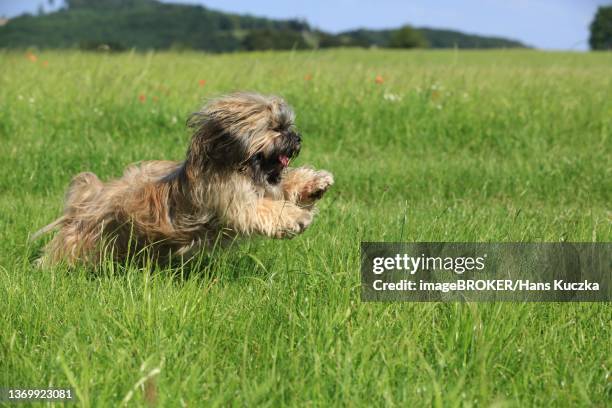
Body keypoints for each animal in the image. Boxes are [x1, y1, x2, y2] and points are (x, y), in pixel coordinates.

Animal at [33, 91, 334, 268]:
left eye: (289, 126)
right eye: (275, 128)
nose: (297, 138)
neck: (235, 165)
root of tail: (91, 196)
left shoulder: (265, 186)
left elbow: (285, 188)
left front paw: (316, 183)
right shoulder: (234, 202)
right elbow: (265, 209)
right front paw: (297, 218)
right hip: (85, 237)